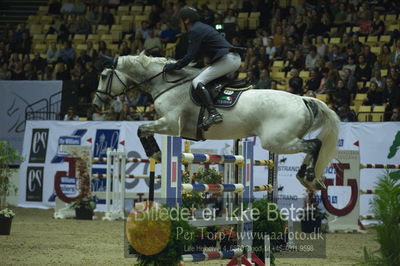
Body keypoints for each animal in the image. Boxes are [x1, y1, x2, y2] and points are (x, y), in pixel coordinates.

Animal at [92, 52, 340, 189]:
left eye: (103, 76)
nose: (96, 103)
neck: (167, 84)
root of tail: (303, 99)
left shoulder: (170, 123)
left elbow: (142, 129)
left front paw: (156, 153)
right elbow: (143, 130)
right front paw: (156, 153)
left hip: (277, 141)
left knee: (314, 145)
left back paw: (308, 176)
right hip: (285, 140)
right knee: (311, 147)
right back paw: (309, 179)